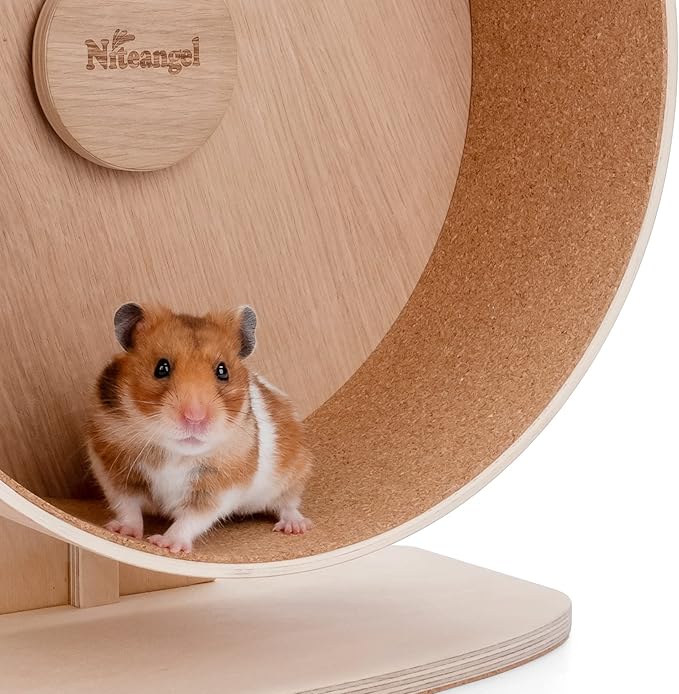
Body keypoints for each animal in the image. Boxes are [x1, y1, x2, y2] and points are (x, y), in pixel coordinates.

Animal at [86, 303, 313, 554]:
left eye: (222, 371)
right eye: (161, 367)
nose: (195, 417)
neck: (175, 452)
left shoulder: (218, 488)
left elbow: (191, 519)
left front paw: (167, 545)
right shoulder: (113, 468)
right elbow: (127, 505)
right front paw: (123, 532)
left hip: (294, 473)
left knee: (288, 504)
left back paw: (296, 527)